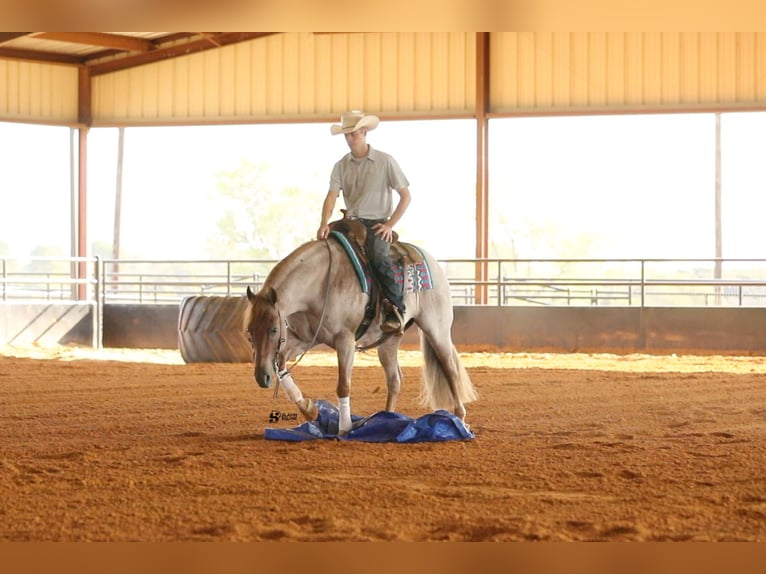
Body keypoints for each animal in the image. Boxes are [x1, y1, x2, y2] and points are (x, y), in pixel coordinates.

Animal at [243, 230, 476, 436]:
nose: (262, 377)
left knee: (450, 370)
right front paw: (310, 409)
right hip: (389, 341)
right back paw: (386, 418)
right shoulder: (304, 339)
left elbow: (343, 386)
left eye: (274, 329)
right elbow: (281, 362)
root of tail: (432, 262)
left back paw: (460, 419)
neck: (320, 283)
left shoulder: (345, 340)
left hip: (436, 329)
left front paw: (344, 428)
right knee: (395, 379)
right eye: (249, 332)